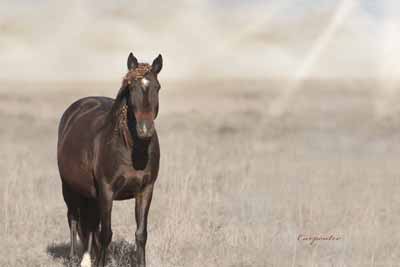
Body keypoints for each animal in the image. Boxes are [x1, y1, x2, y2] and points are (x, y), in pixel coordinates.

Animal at [56, 52, 162, 267]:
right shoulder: (106, 190)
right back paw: (74, 258)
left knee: (89, 224)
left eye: (157, 87)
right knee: (73, 219)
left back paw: (87, 258)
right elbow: (106, 234)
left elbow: (141, 234)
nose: (145, 129)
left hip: (90, 194)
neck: (132, 151)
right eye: (131, 88)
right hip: (69, 188)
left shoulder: (146, 189)